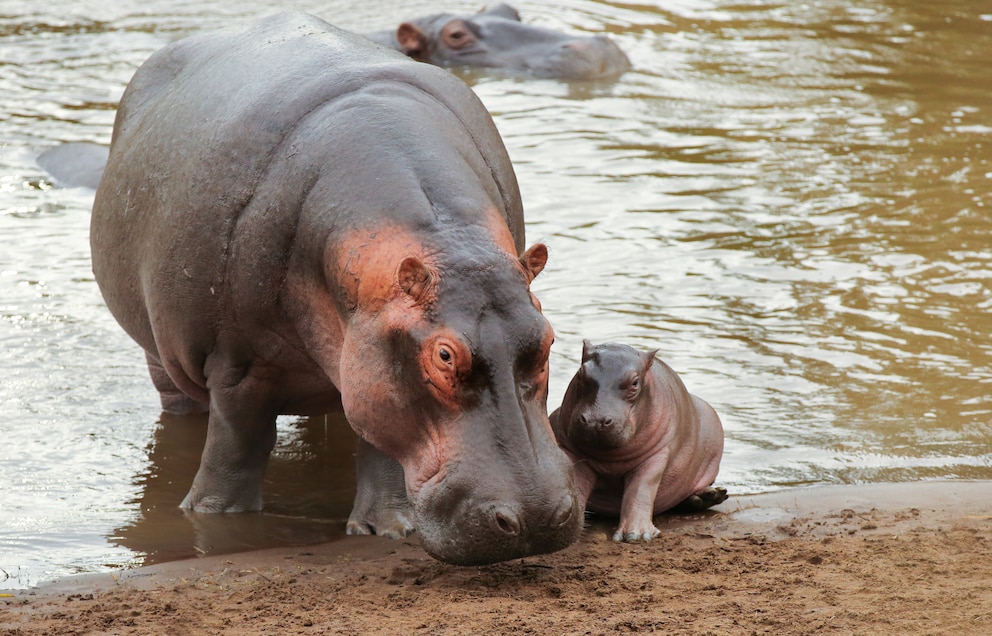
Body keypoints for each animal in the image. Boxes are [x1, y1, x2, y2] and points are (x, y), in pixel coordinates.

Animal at [90, 9, 584, 568]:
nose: (537, 519)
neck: (447, 241)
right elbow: (235, 448)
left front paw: (387, 529)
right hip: (161, 352)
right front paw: (213, 518)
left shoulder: (374, 364)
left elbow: (382, 448)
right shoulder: (237, 362)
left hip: (335, 372)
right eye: (443, 355)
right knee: (184, 406)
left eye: (547, 339)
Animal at [552, 342, 728, 540]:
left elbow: (641, 489)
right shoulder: (574, 453)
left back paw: (710, 496)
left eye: (635, 382)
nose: (595, 421)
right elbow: (578, 484)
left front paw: (636, 535)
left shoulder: (657, 455)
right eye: (581, 373)